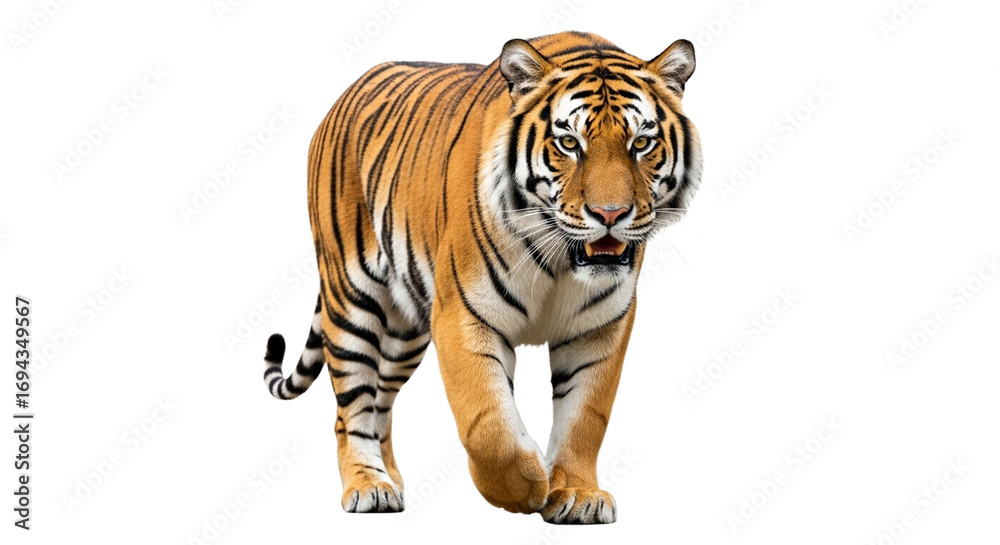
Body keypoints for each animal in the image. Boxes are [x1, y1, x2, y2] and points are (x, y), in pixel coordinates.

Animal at [260, 31, 702, 524]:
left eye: (641, 143)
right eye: (569, 143)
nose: (610, 214)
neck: (562, 261)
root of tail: (344, 94)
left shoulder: (599, 327)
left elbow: (586, 416)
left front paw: (578, 494)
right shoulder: (464, 316)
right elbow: (486, 422)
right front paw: (526, 487)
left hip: (404, 330)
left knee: (381, 403)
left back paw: (392, 481)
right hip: (352, 299)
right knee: (351, 407)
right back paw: (368, 486)